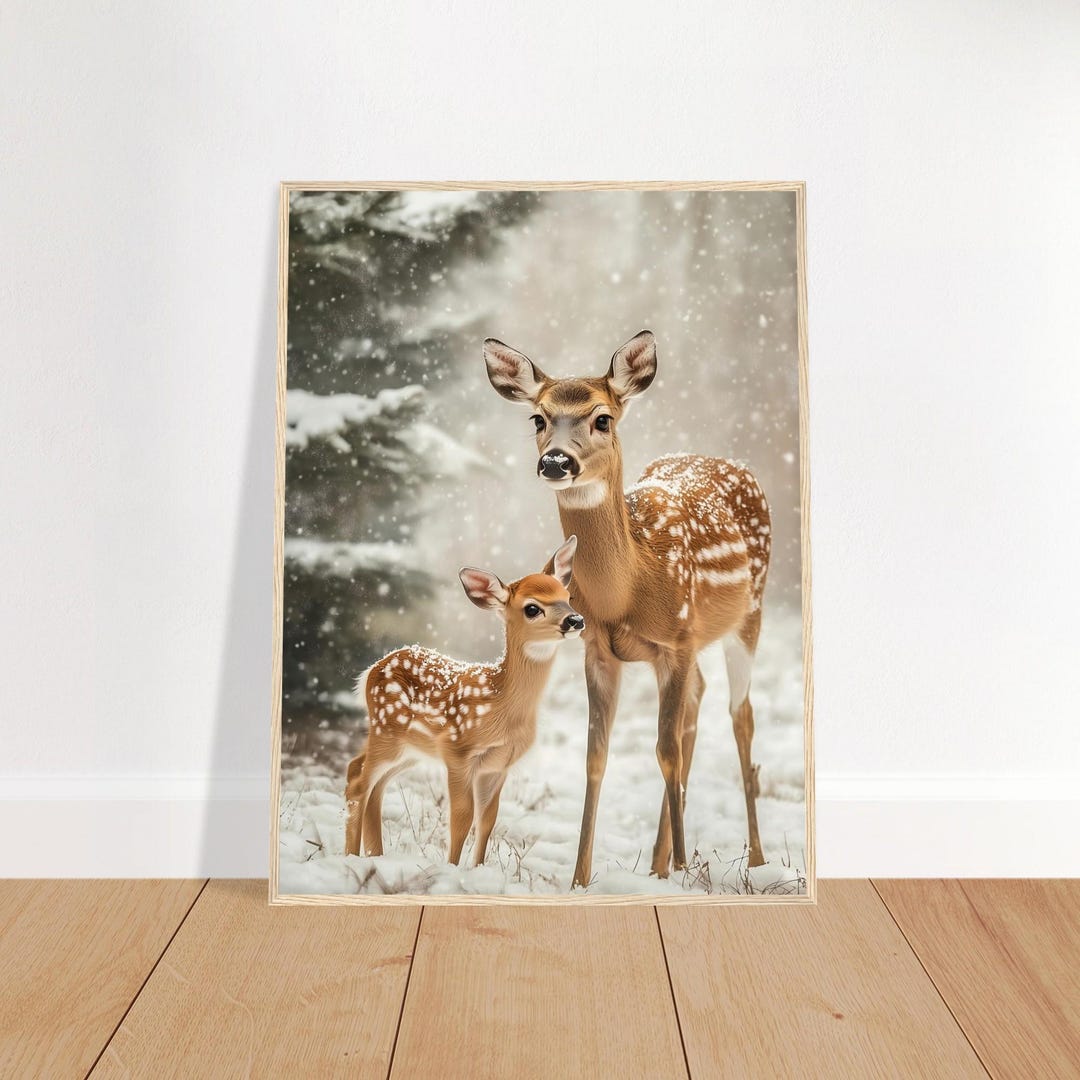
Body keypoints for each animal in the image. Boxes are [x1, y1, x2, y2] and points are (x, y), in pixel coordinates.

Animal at [344, 537, 583, 867]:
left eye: (568, 596)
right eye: (533, 608)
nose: (576, 619)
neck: (503, 706)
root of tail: (371, 670)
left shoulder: (498, 765)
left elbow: (488, 819)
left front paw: (477, 868)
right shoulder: (457, 750)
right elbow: (461, 816)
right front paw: (452, 869)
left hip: (409, 748)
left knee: (367, 778)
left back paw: (375, 857)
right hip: (386, 729)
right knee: (359, 782)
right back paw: (351, 857)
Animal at [484, 330, 772, 888]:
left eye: (602, 418)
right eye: (538, 418)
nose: (556, 462)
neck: (629, 588)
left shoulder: (676, 641)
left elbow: (665, 752)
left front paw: (684, 871)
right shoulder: (598, 649)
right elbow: (596, 756)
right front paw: (580, 879)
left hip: (751, 611)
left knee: (739, 716)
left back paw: (755, 861)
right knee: (697, 707)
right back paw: (660, 865)